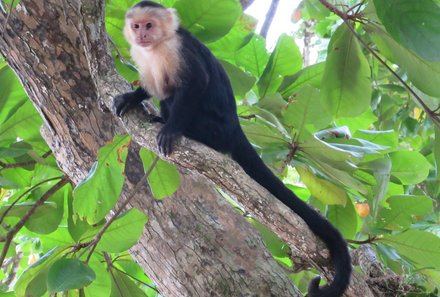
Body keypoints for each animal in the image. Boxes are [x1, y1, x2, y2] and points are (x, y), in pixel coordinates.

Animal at [112, 1, 350, 294]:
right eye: (136, 26)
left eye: (149, 25)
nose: (142, 34)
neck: (157, 46)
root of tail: (235, 127)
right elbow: (153, 85)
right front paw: (132, 97)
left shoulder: (178, 48)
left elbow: (195, 83)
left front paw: (172, 129)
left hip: (216, 129)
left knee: (179, 99)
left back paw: (182, 129)